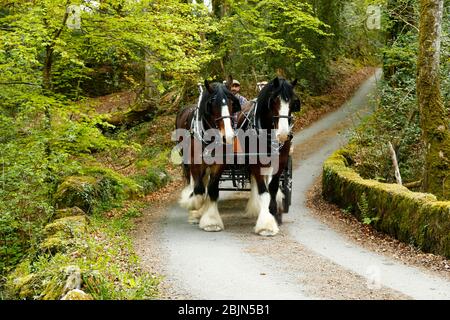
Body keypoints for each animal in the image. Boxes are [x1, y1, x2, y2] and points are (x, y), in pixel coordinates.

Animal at [175, 78, 241, 232]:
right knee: (194, 182)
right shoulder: (195, 163)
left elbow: (211, 189)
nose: (228, 136)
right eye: (213, 104)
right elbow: (198, 190)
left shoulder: (219, 164)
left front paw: (211, 221)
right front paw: (192, 206)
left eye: (231, 103)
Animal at [236, 76, 302, 236]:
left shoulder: (281, 160)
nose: (283, 134)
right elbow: (263, 191)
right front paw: (266, 224)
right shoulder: (255, 161)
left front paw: (274, 213)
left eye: (293, 102)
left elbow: (272, 187)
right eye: (274, 100)